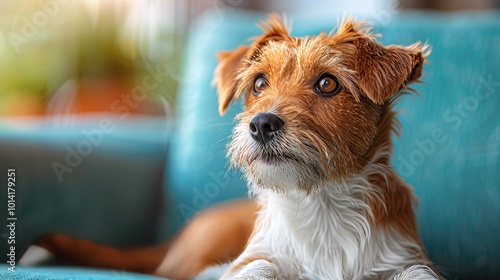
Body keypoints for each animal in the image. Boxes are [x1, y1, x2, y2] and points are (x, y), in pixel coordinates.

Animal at [213, 15, 440, 280]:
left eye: (327, 83)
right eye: (259, 83)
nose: (261, 124)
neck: (321, 204)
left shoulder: (404, 257)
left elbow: (418, 272)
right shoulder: (258, 254)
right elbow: (259, 266)